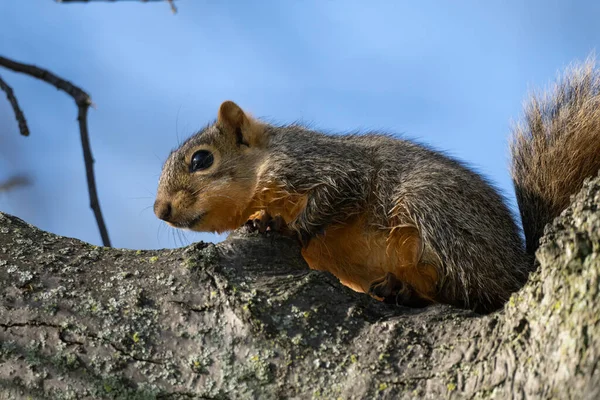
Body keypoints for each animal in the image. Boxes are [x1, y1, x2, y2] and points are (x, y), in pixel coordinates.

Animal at [154, 61, 600, 314]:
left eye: (201, 160)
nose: (161, 211)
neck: (264, 166)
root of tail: (518, 262)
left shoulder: (322, 167)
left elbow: (336, 193)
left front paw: (284, 227)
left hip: (433, 208)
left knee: (480, 290)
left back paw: (410, 290)